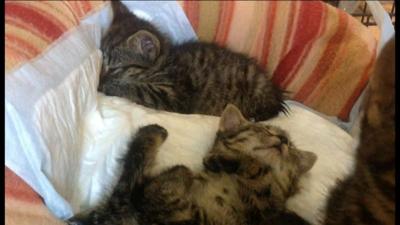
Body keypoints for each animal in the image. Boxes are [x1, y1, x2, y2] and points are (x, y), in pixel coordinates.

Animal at [69, 104, 318, 224]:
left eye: (292, 148)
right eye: (265, 129)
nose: (283, 141)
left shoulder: (263, 206)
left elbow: (256, 169)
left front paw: (220, 159)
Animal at [100, 1, 288, 121]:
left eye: (114, 68)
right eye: (101, 62)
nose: (100, 78)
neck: (163, 64)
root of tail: (275, 91)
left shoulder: (174, 95)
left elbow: (136, 89)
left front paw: (107, 86)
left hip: (254, 84)